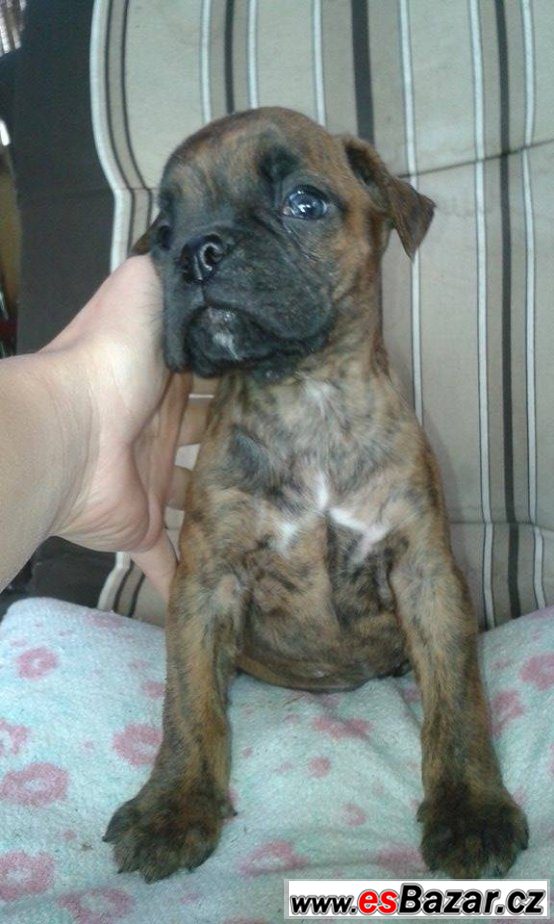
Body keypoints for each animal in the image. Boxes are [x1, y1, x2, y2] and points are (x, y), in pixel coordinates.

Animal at [104, 107, 528, 882]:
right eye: (163, 233)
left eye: (305, 202)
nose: (198, 253)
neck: (305, 393)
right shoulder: (206, 583)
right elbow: (187, 701)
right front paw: (174, 806)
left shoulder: (425, 572)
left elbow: (457, 696)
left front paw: (470, 809)